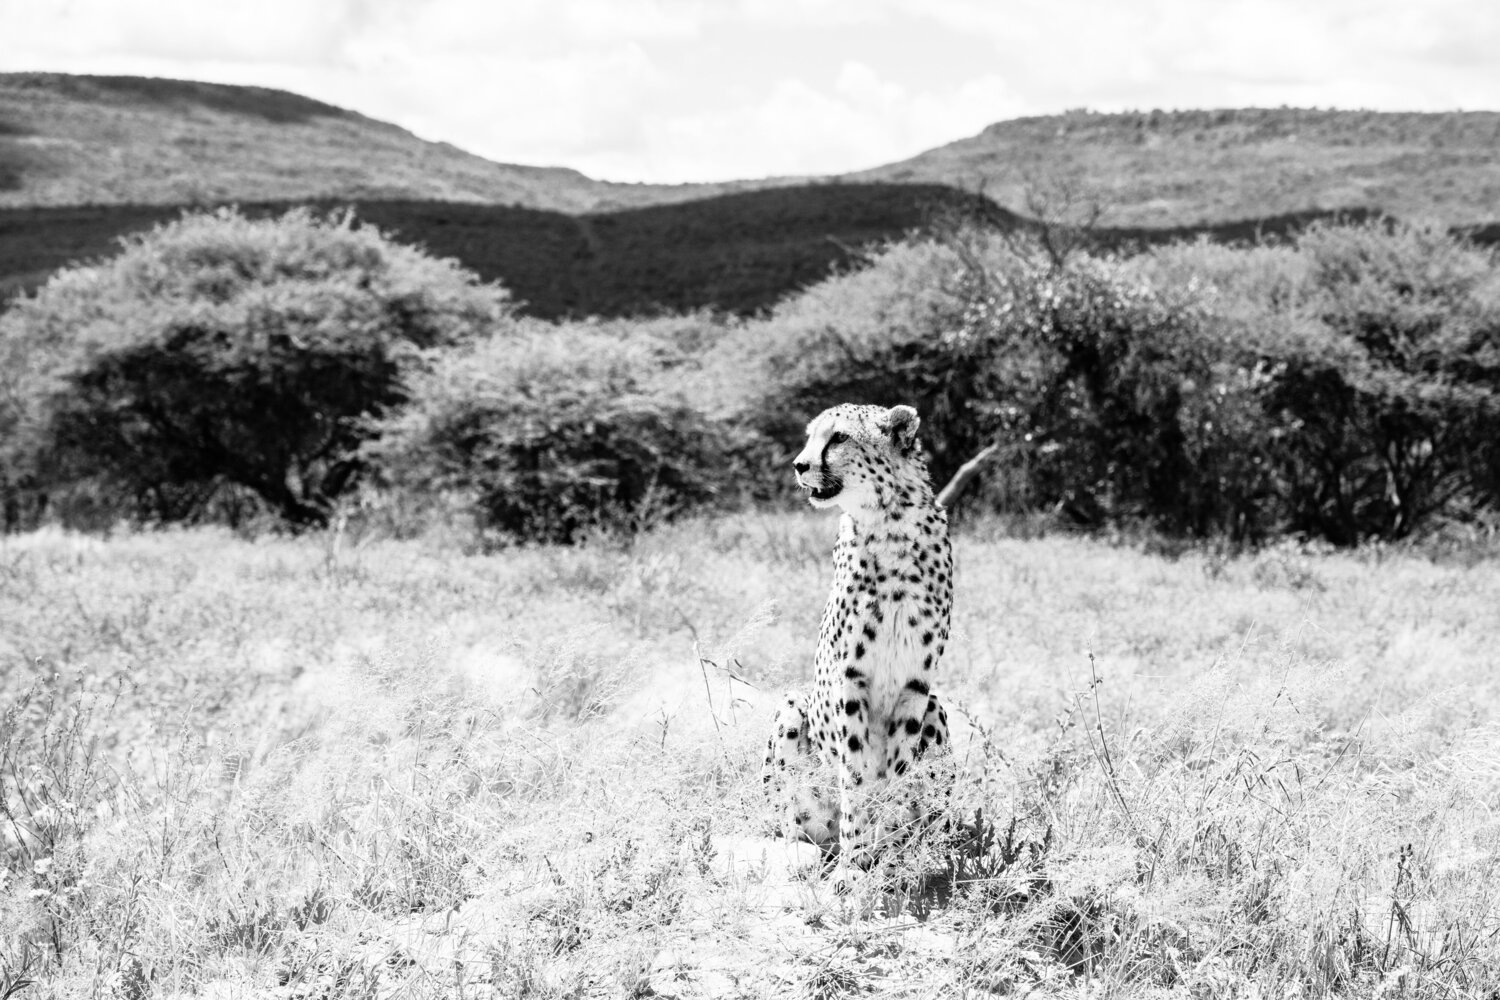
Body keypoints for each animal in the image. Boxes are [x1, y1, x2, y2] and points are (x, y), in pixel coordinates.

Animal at [762, 402, 955, 879]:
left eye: (839, 437)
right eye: (811, 437)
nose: (799, 465)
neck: (890, 525)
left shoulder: (915, 685)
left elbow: (896, 775)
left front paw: (886, 857)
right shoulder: (850, 682)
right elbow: (856, 776)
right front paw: (856, 863)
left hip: (936, 708)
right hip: (792, 709)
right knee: (797, 825)